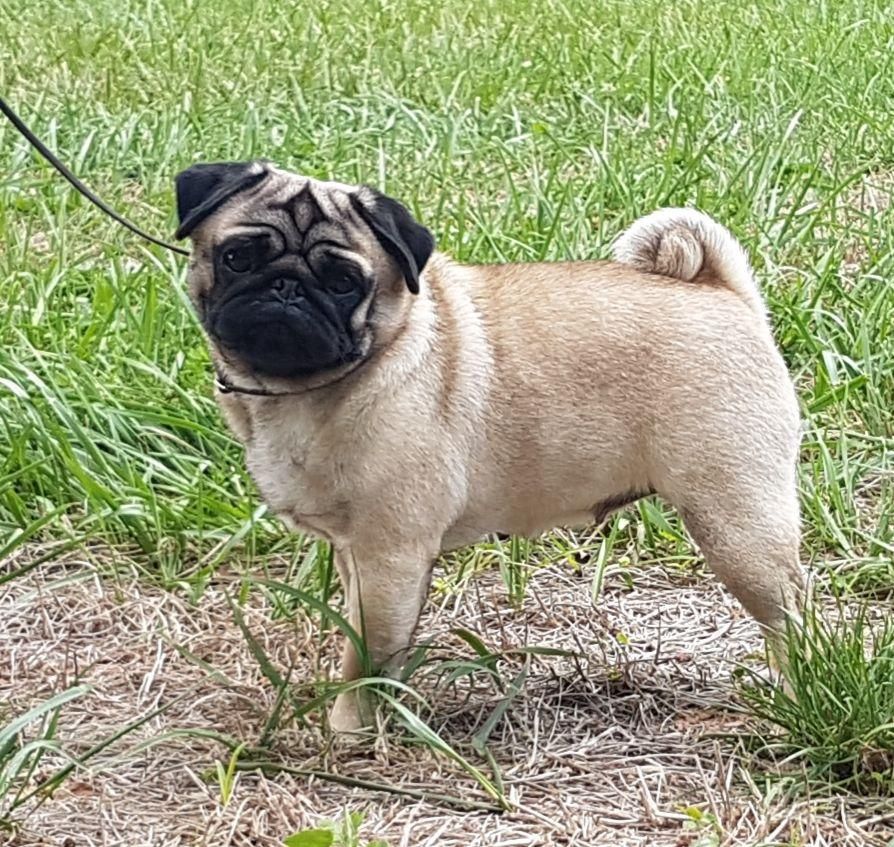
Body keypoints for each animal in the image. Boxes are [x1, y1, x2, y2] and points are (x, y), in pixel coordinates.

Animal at [173, 162, 804, 732]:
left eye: (343, 282)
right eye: (237, 257)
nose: (286, 289)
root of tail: (722, 293)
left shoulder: (389, 556)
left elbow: (366, 658)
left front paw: (352, 728)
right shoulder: (358, 555)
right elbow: (369, 641)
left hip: (735, 522)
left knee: (789, 613)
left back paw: (797, 689)